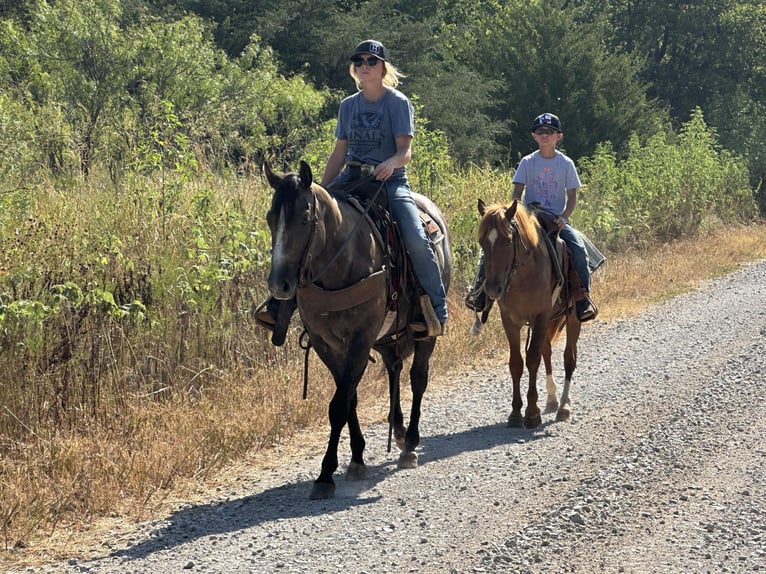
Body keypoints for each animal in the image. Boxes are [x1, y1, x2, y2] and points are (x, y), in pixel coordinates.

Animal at [268, 161, 452, 500]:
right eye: (270, 218)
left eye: (304, 218)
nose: (279, 285)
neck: (345, 260)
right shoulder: (326, 343)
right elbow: (348, 398)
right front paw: (356, 459)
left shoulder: (360, 339)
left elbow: (339, 404)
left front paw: (326, 474)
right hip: (387, 336)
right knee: (394, 368)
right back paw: (399, 430)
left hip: (424, 333)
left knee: (417, 378)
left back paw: (410, 444)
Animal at [480, 200, 584, 430]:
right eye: (482, 242)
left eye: (508, 241)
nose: (493, 289)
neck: (523, 276)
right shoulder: (510, 321)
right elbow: (516, 363)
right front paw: (515, 413)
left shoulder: (540, 316)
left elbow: (533, 359)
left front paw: (532, 413)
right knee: (547, 351)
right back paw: (552, 400)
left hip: (572, 318)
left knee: (569, 358)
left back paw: (564, 407)